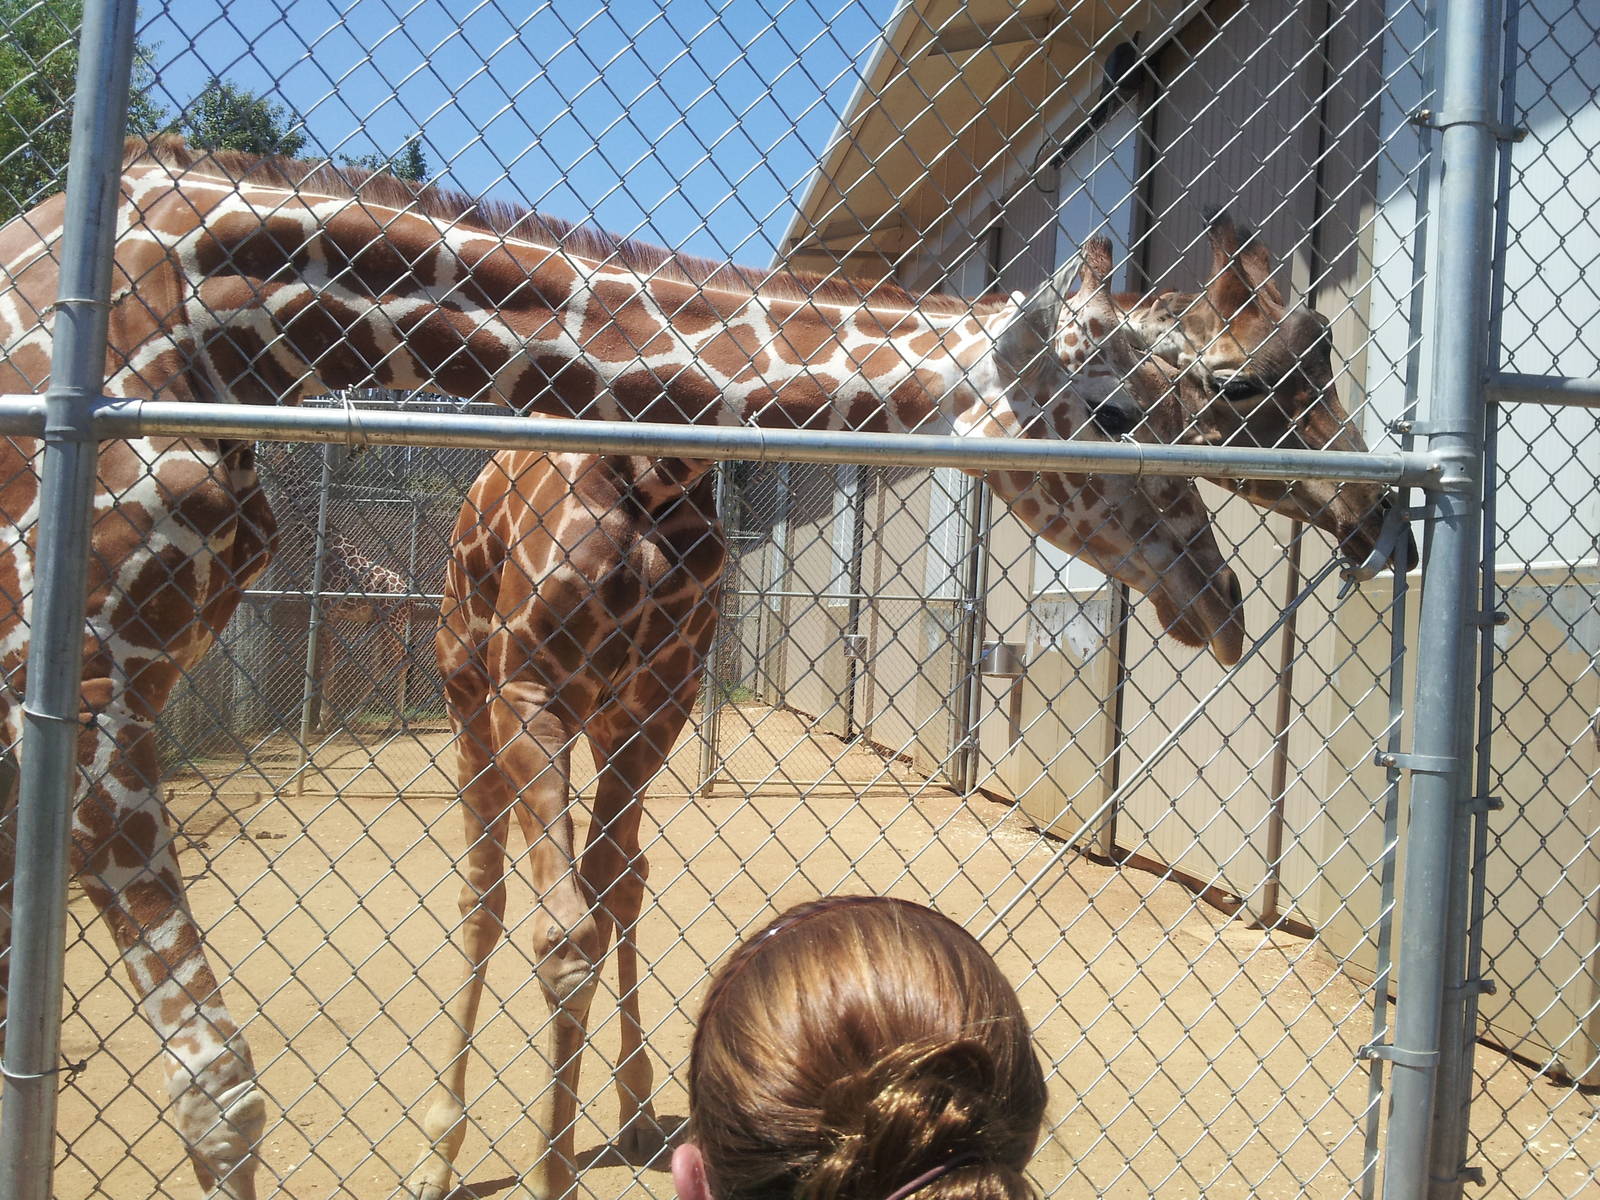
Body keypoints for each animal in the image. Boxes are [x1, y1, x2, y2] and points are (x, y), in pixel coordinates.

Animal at [0, 134, 1242, 1199]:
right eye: (1119, 410)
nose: (1222, 605)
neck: (219, 319)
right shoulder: (100, 683)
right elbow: (521, 949)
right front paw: (536, 1164)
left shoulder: (657, 698)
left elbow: (597, 911)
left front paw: (607, 1124)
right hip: (463, 688)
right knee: (484, 894)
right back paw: (441, 1150)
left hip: (607, 712)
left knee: (621, 880)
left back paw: (638, 1109)